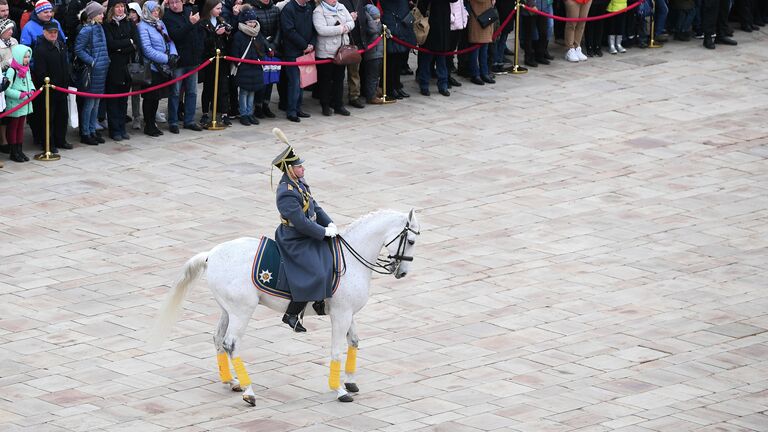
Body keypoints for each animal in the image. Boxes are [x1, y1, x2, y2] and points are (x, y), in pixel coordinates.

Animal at [148, 209, 420, 404]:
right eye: (411, 241)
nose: (403, 273)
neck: (352, 259)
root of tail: (211, 255)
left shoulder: (347, 312)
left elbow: (353, 342)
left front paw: (350, 382)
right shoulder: (340, 314)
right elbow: (336, 351)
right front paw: (340, 390)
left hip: (228, 310)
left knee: (218, 339)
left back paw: (232, 381)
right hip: (242, 311)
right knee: (231, 344)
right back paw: (249, 391)